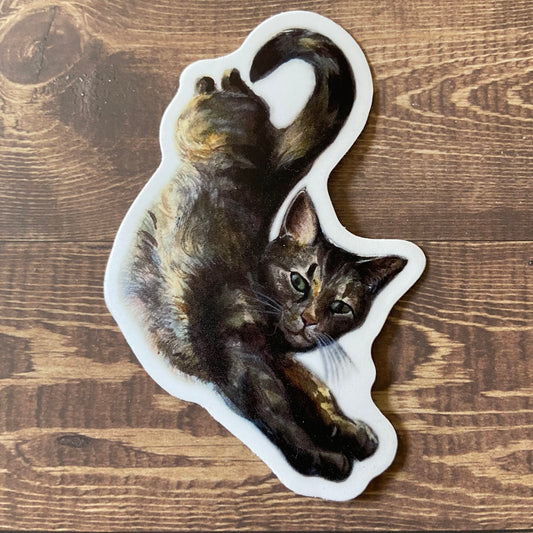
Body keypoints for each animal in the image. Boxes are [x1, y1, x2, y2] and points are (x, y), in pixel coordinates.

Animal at [127, 29, 406, 480]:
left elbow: (313, 390)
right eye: (299, 281)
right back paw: (223, 80)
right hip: (200, 123)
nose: (310, 320)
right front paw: (319, 454)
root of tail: (268, 167)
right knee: (225, 101)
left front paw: (345, 428)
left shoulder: (277, 357)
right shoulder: (238, 350)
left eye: (341, 306)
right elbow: (278, 408)